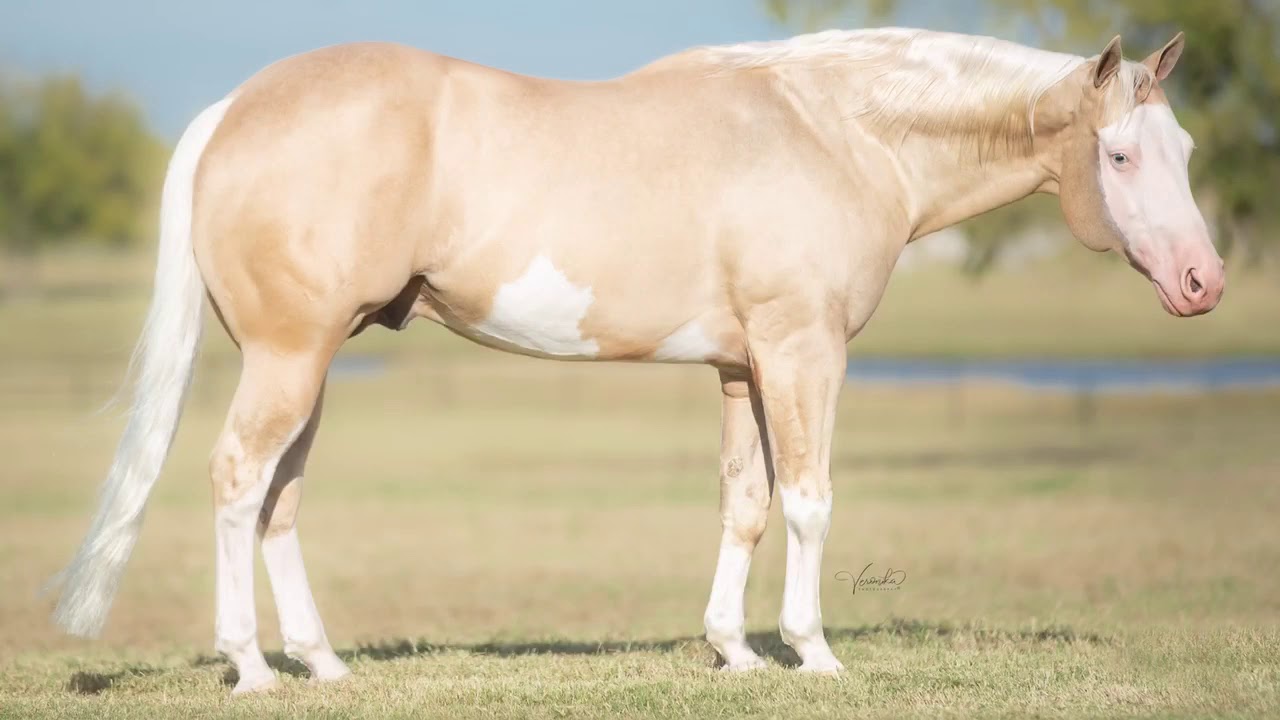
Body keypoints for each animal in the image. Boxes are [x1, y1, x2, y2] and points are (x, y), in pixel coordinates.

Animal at [51, 27, 1223, 693]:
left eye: (1185, 151)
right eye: (1121, 155)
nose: (1203, 281)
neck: (836, 133)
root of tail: (234, 110)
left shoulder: (743, 368)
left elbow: (744, 503)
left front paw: (734, 650)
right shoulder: (802, 354)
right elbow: (808, 502)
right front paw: (813, 651)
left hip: (311, 366)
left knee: (279, 498)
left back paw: (324, 665)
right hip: (288, 359)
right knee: (237, 481)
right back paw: (250, 667)